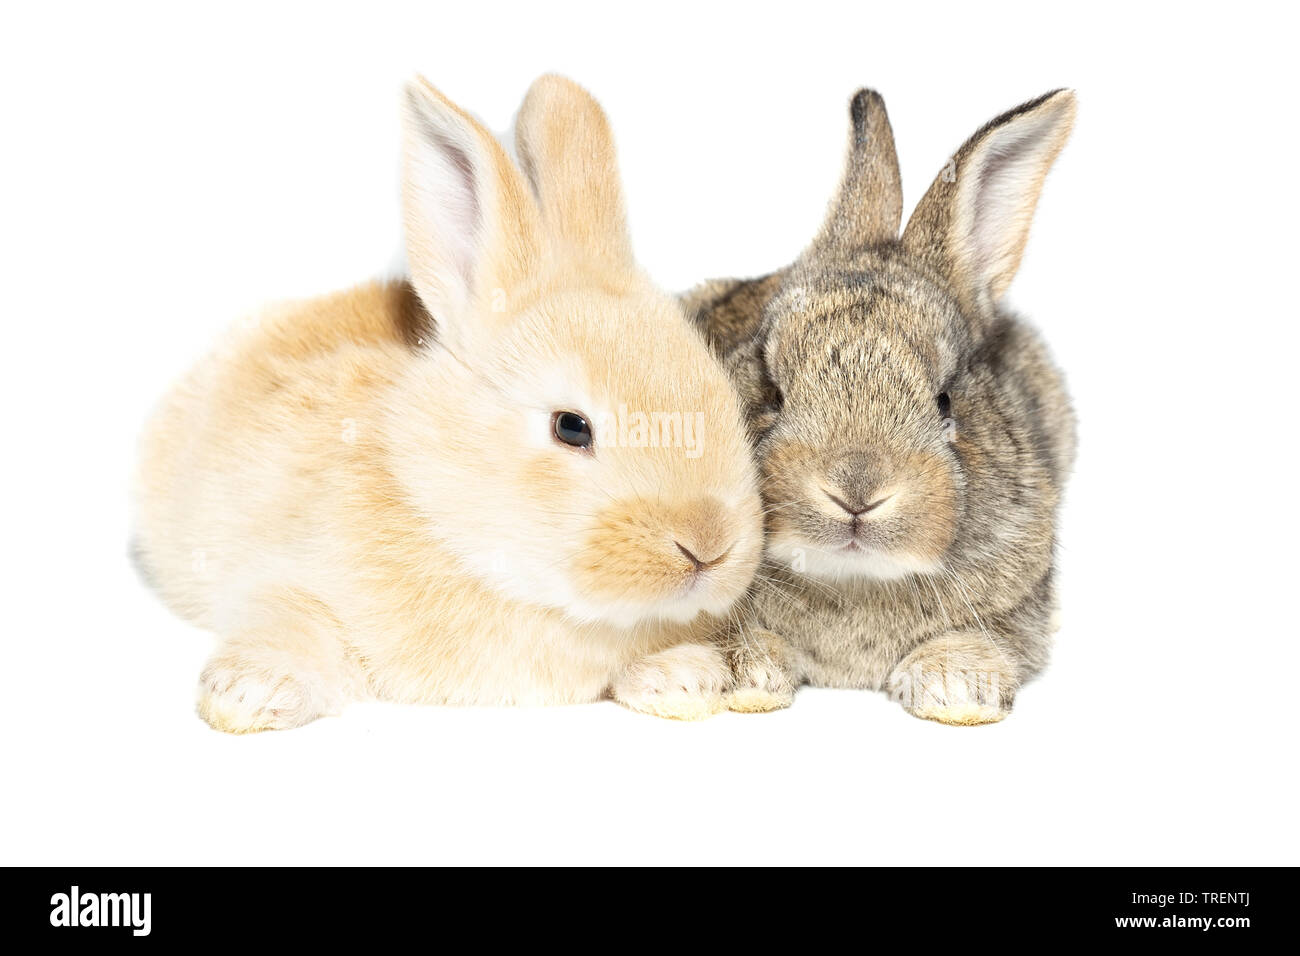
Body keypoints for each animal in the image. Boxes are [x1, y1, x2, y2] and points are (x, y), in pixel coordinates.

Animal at [134, 76, 759, 733]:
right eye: (571, 427)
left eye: (726, 399)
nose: (708, 546)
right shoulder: (279, 572)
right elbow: (290, 619)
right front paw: (247, 693)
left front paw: (685, 678)